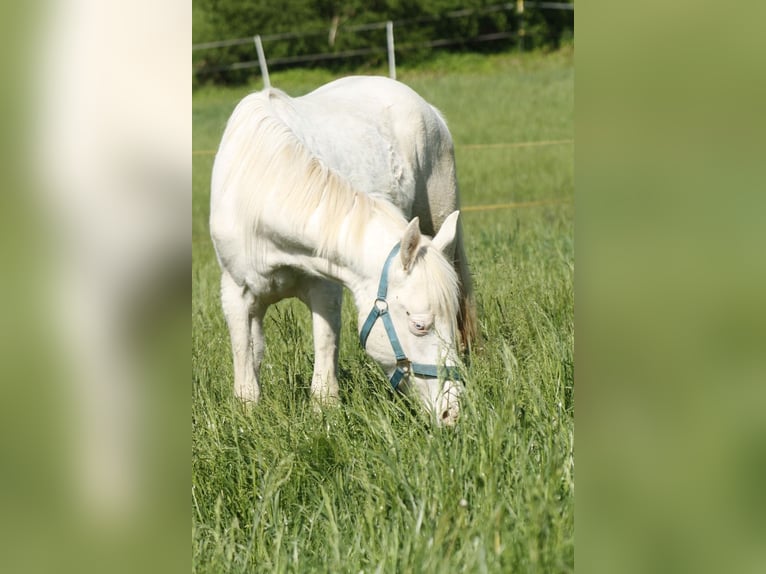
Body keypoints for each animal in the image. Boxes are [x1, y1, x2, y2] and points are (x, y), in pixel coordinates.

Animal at [210, 75, 474, 428]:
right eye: (419, 325)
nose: (452, 412)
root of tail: (426, 106)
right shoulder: (237, 293)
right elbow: (247, 355)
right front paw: (248, 416)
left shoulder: (325, 288)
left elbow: (325, 348)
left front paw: (325, 412)